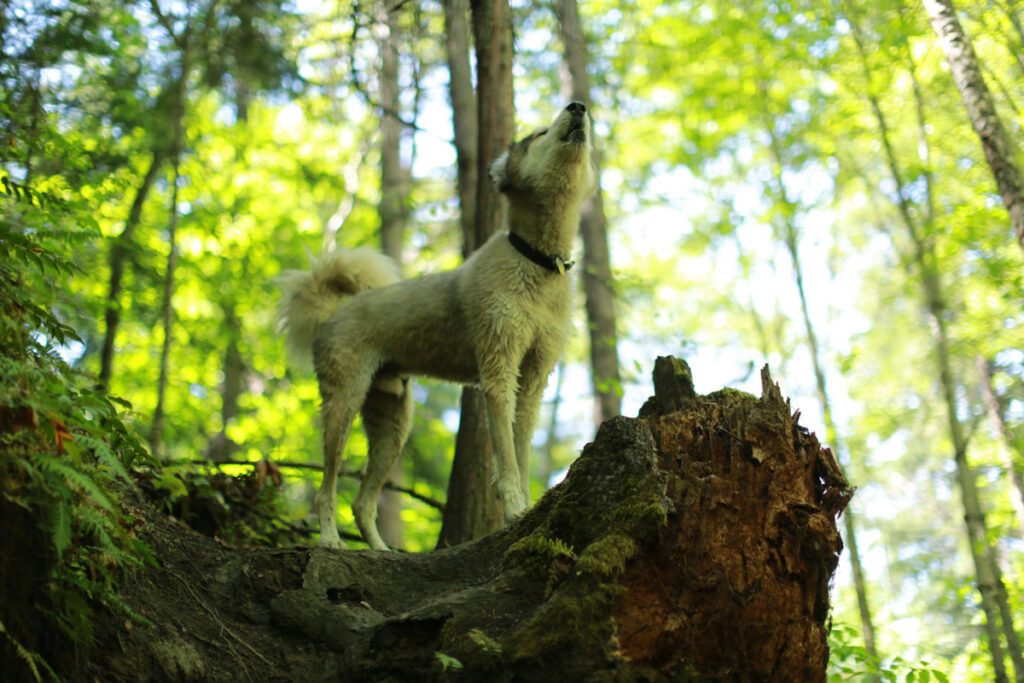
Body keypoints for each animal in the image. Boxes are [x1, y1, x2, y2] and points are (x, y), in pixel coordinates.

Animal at [280, 101, 598, 548]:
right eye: (537, 134)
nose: (578, 106)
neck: (535, 260)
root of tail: (331, 312)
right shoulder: (498, 372)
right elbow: (508, 463)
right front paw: (516, 514)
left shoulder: (533, 382)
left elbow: (520, 455)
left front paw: (530, 511)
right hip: (343, 404)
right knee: (327, 490)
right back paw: (329, 541)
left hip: (393, 421)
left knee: (362, 503)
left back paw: (384, 553)